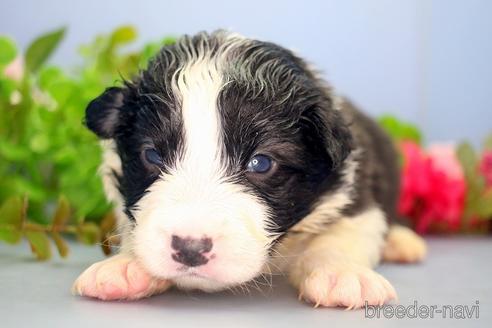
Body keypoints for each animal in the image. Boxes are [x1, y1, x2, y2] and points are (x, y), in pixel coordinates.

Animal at [73, 30, 426, 308]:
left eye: (260, 163)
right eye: (152, 156)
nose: (190, 248)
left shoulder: (356, 190)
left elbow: (344, 233)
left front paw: (341, 272)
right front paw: (126, 266)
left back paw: (401, 242)